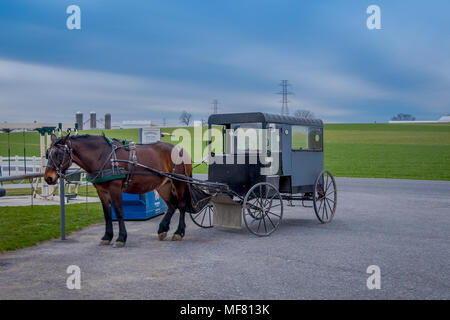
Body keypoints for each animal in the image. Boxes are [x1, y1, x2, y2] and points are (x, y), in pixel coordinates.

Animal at [44, 132, 193, 248]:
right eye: (47, 154)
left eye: (59, 154)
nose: (48, 178)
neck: (103, 156)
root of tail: (181, 149)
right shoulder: (102, 191)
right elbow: (107, 214)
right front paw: (107, 236)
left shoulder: (115, 188)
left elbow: (119, 212)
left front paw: (121, 238)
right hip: (164, 185)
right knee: (172, 205)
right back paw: (163, 229)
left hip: (179, 182)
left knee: (181, 205)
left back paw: (179, 232)